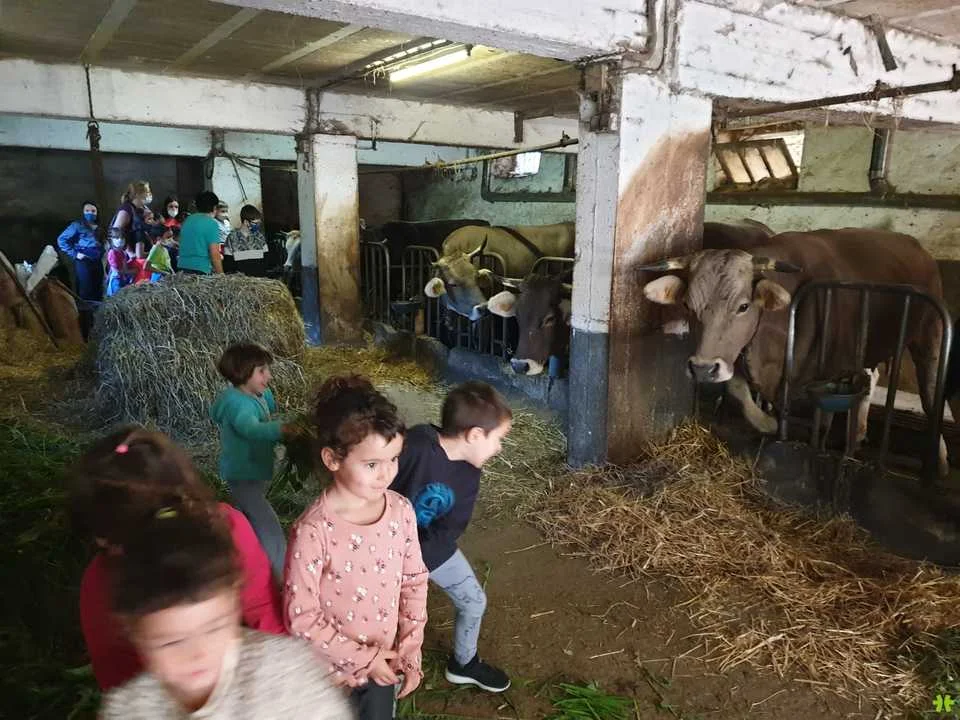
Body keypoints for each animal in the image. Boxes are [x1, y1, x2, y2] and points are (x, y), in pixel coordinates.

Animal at [639, 228, 948, 474]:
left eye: (743, 306)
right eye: (688, 305)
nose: (702, 368)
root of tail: (913, 244)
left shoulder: (827, 379)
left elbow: (821, 427)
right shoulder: (739, 358)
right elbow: (736, 388)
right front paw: (767, 422)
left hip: (930, 335)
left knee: (930, 392)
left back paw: (940, 461)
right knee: (870, 382)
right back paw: (858, 434)